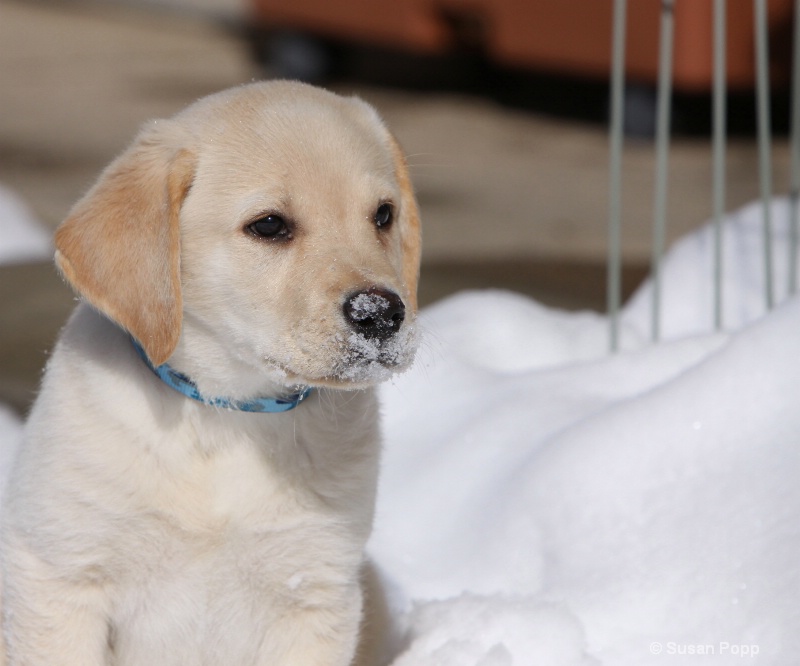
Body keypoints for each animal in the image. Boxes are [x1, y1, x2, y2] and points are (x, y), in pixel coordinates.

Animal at [0, 81, 422, 664]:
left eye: (383, 215)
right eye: (269, 225)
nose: (380, 315)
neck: (227, 414)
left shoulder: (313, 594)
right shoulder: (62, 572)